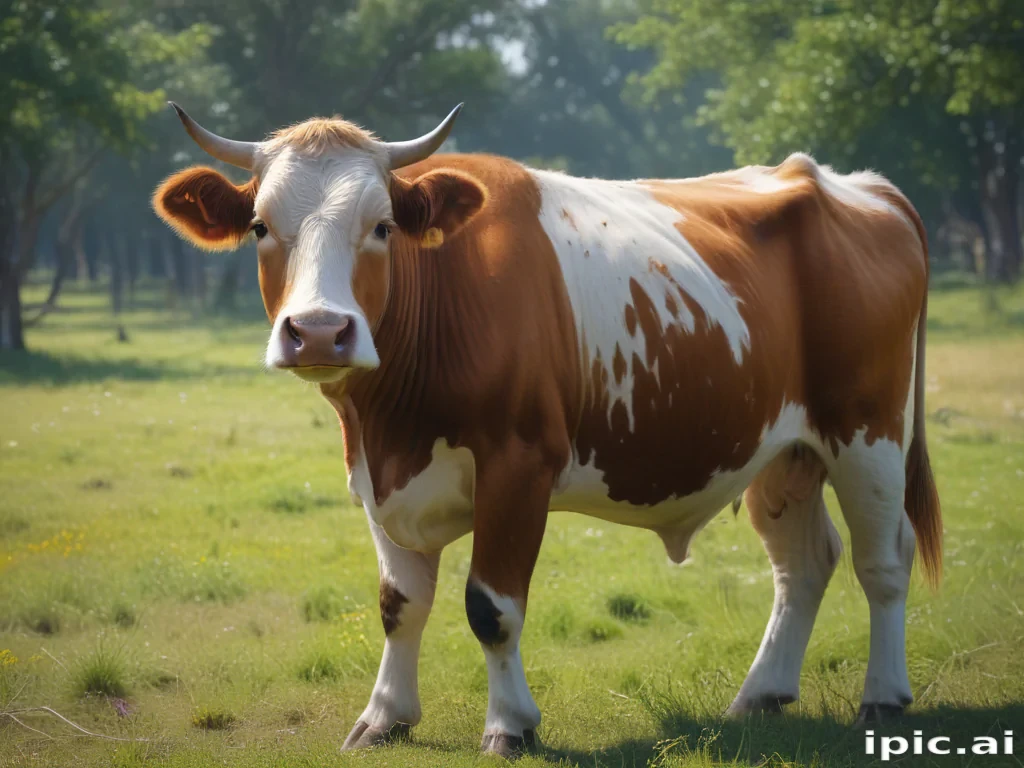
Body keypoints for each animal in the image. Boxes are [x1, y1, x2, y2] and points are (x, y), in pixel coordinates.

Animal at [152, 103, 942, 757]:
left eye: (381, 227)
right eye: (261, 227)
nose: (318, 330)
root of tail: (857, 186)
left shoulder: (519, 464)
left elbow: (491, 607)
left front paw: (510, 725)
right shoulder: (376, 474)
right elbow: (398, 604)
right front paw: (384, 717)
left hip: (868, 431)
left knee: (883, 559)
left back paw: (883, 696)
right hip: (782, 450)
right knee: (803, 563)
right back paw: (760, 694)